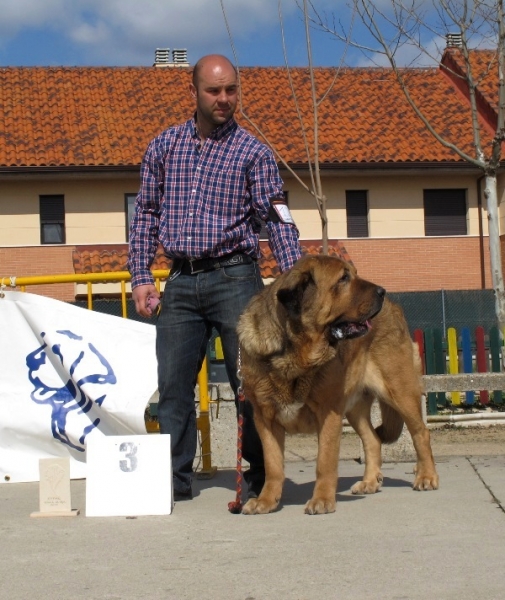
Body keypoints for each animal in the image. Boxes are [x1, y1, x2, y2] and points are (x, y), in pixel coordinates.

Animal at [236, 255, 438, 512]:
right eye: (343, 278)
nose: (382, 291)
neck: (294, 353)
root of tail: (395, 308)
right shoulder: (265, 419)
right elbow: (273, 465)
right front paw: (265, 501)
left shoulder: (328, 412)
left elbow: (325, 462)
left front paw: (322, 500)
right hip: (355, 408)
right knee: (373, 440)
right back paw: (369, 482)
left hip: (400, 391)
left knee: (421, 433)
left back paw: (426, 477)